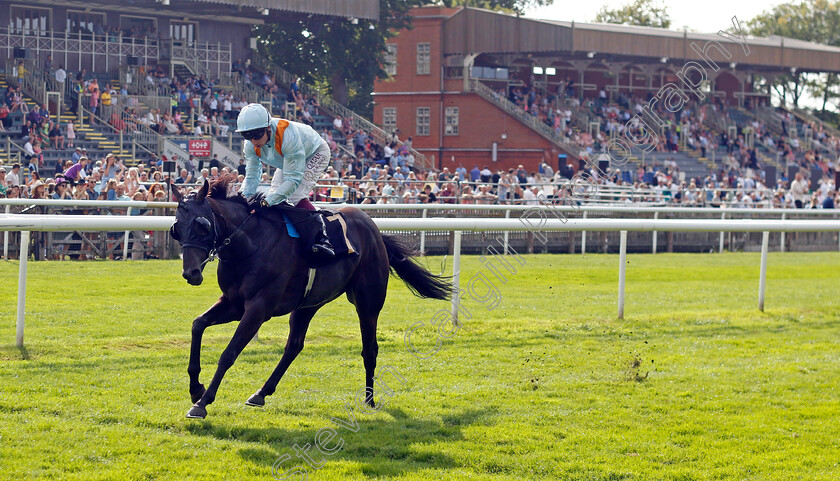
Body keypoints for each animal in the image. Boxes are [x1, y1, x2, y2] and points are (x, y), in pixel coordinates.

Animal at [170, 176, 452, 416]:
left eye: (202, 225)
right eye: (176, 229)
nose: (191, 272)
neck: (249, 244)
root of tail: (374, 229)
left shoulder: (258, 308)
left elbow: (229, 353)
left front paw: (202, 403)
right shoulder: (233, 303)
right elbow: (198, 324)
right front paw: (196, 387)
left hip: (368, 302)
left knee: (370, 348)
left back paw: (370, 400)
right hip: (308, 303)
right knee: (294, 345)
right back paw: (262, 392)